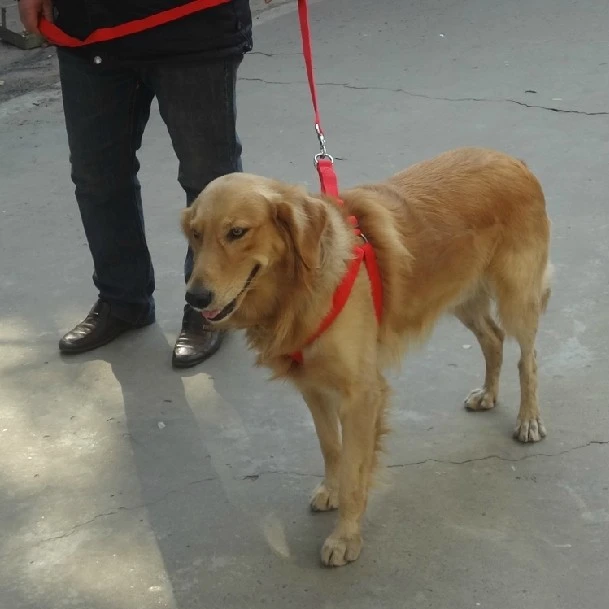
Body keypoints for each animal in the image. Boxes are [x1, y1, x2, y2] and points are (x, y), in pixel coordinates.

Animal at [179, 146, 552, 564]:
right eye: (196, 234)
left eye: (237, 232)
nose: (194, 298)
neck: (300, 287)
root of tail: (510, 158)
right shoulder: (313, 387)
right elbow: (331, 448)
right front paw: (332, 489)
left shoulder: (361, 396)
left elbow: (355, 471)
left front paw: (346, 537)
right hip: (461, 294)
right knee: (493, 338)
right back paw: (488, 393)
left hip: (516, 297)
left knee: (528, 358)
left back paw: (528, 419)